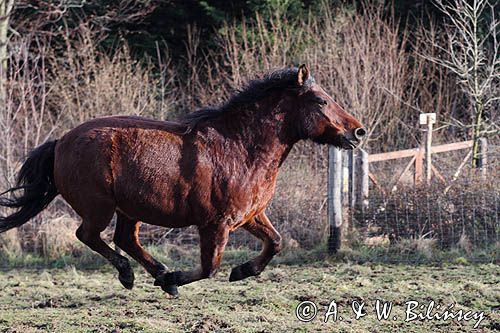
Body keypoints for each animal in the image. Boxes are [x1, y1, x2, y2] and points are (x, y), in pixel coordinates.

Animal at [0, 64, 364, 294]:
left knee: (125, 239)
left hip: (129, 209)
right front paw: (184, 275)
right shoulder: (216, 224)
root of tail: (61, 141)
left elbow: (275, 242)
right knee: (89, 235)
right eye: (321, 101)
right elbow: (209, 267)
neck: (239, 148)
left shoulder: (250, 216)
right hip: (99, 207)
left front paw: (242, 271)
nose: (357, 132)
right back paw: (134, 275)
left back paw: (160, 276)